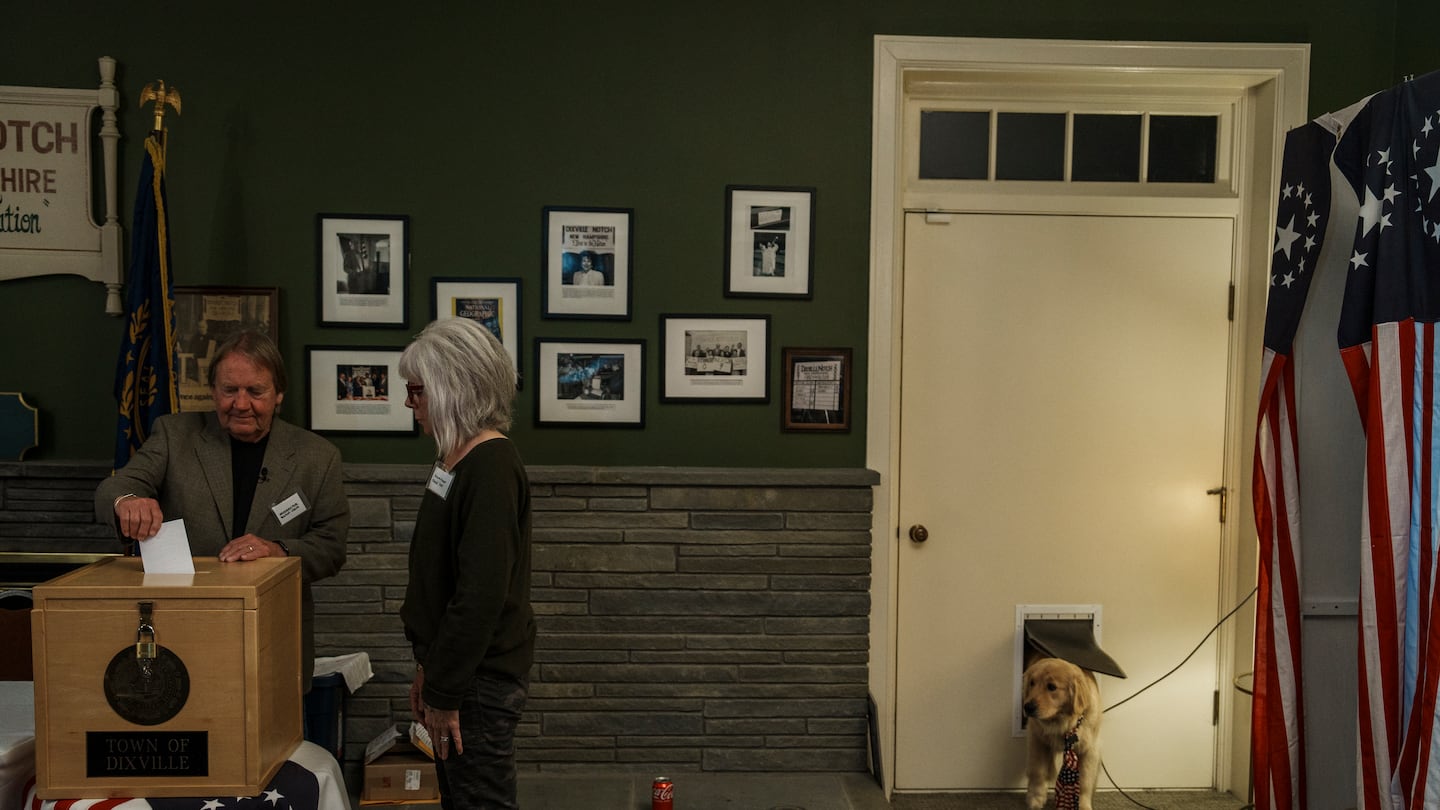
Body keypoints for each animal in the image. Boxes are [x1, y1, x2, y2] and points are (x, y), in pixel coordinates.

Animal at [1025, 657, 1100, 807]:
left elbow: (1085, 781)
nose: (1027, 707)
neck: (1062, 722)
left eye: (1052, 687)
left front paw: (1083, 805)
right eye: (1032, 683)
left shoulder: (1089, 750)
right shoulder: (1038, 742)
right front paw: (1036, 798)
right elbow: (1038, 772)